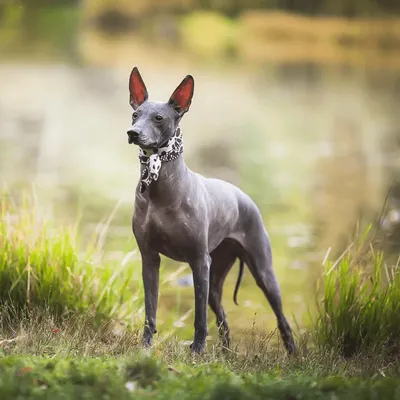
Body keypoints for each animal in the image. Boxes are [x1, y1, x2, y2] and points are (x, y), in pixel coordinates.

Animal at [126, 67, 296, 354]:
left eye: (159, 118)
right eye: (135, 114)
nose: (132, 133)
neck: (160, 188)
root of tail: (244, 196)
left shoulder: (198, 262)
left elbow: (199, 318)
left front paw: (196, 350)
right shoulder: (149, 259)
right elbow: (150, 310)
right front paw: (146, 347)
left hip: (262, 272)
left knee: (281, 317)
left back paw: (292, 351)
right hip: (216, 279)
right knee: (223, 317)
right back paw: (226, 351)